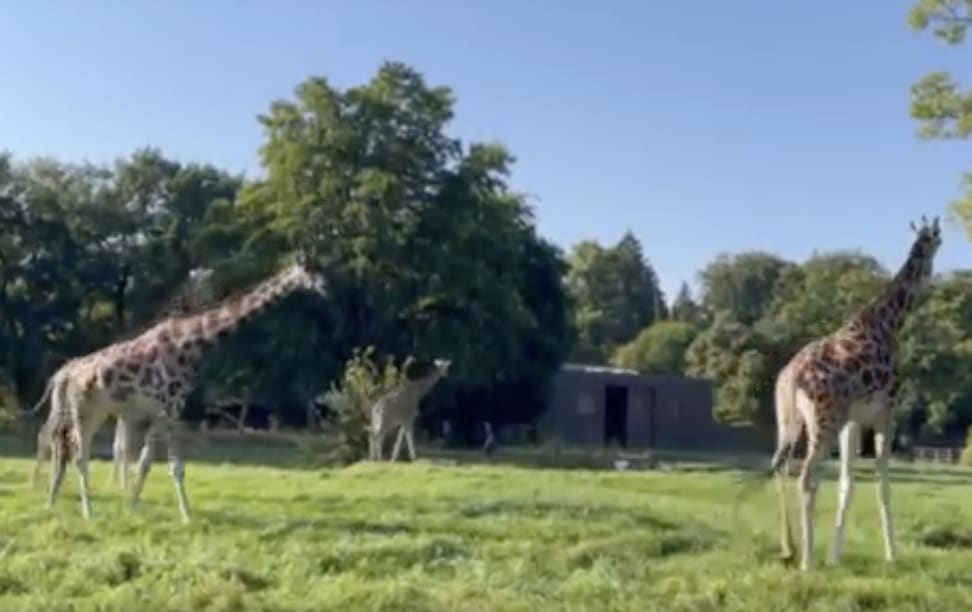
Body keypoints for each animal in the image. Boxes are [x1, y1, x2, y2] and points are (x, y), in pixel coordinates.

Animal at [40, 257, 328, 522]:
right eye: (310, 271)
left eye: (321, 268)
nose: (325, 287)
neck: (191, 344)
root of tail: (64, 374)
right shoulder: (172, 407)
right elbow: (175, 466)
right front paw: (187, 515)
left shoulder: (159, 411)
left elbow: (145, 463)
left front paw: (132, 506)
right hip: (80, 410)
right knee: (77, 454)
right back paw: (87, 512)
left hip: (95, 411)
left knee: (71, 451)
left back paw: (58, 502)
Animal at [770, 215, 943, 571]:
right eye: (937, 242)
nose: (929, 280)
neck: (889, 322)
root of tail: (791, 377)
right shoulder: (886, 411)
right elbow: (882, 482)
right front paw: (892, 554)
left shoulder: (852, 419)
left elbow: (846, 483)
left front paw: (836, 556)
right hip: (824, 421)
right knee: (805, 477)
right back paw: (807, 561)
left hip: (789, 420)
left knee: (779, 465)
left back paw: (789, 548)